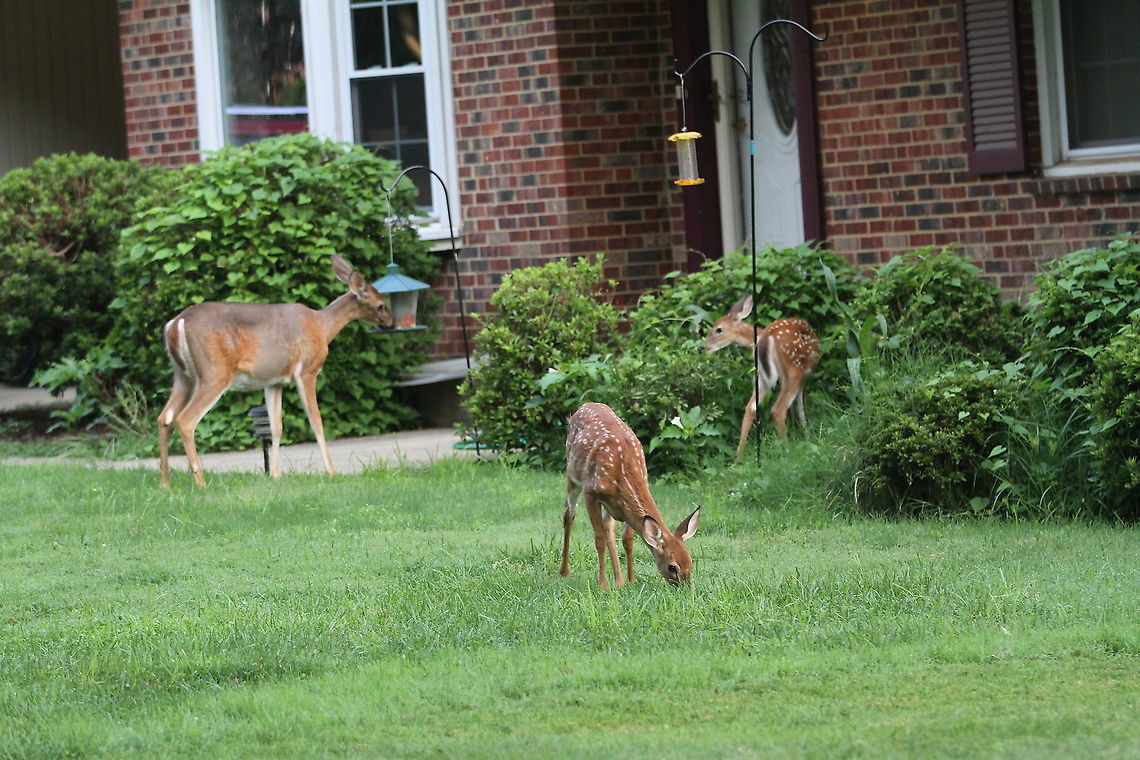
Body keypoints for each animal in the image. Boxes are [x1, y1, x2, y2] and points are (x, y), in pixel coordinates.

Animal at [157, 254, 394, 487]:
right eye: (381, 306)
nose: (391, 324)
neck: (322, 326)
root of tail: (176, 323)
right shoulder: (307, 371)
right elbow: (316, 421)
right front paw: (332, 472)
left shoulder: (274, 381)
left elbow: (276, 426)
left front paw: (275, 475)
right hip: (214, 373)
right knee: (185, 420)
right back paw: (201, 483)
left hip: (183, 376)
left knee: (164, 418)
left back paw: (166, 483)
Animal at [561, 402, 700, 589]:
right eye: (672, 567)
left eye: (690, 561)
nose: (685, 589)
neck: (624, 471)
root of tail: (586, 404)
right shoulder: (590, 493)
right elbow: (599, 539)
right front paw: (603, 585)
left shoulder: (623, 505)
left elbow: (627, 540)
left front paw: (631, 580)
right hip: (573, 477)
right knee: (569, 515)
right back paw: (564, 571)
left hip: (609, 504)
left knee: (608, 528)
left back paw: (619, 580)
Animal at [703, 293, 821, 462]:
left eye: (719, 329)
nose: (703, 347)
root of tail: (766, 338)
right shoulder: (803, 375)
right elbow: (800, 405)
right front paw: (807, 436)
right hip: (794, 369)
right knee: (778, 409)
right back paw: (788, 452)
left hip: (763, 376)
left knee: (750, 408)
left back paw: (738, 459)